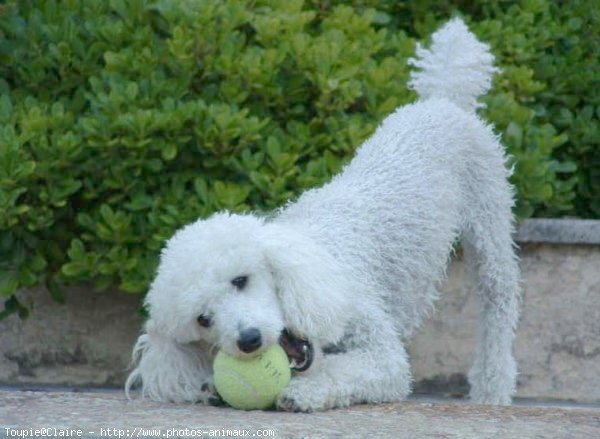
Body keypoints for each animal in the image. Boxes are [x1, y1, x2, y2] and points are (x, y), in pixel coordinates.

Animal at [126, 19, 520, 412]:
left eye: (241, 280)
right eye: (203, 320)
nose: (249, 339)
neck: (314, 263)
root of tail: (441, 100)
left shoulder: (380, 352)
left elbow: (353, 368)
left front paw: (302, 391)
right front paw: (208, 387)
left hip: (490, 227)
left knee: (498, 312)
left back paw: (493, 390)